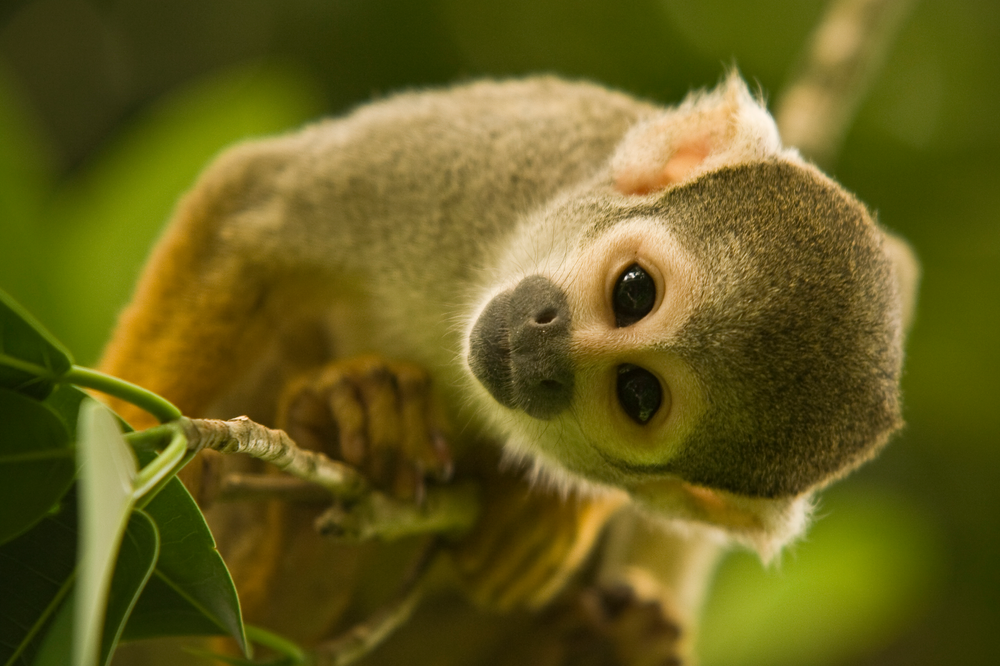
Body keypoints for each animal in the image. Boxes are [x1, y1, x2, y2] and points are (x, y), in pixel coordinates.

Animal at [100, 73, 917, 665]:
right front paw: (121, 476)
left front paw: (549, 513)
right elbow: (254, 205)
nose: (541, 350)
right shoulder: (504, 159)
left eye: (638, 394)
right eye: (634, 291)